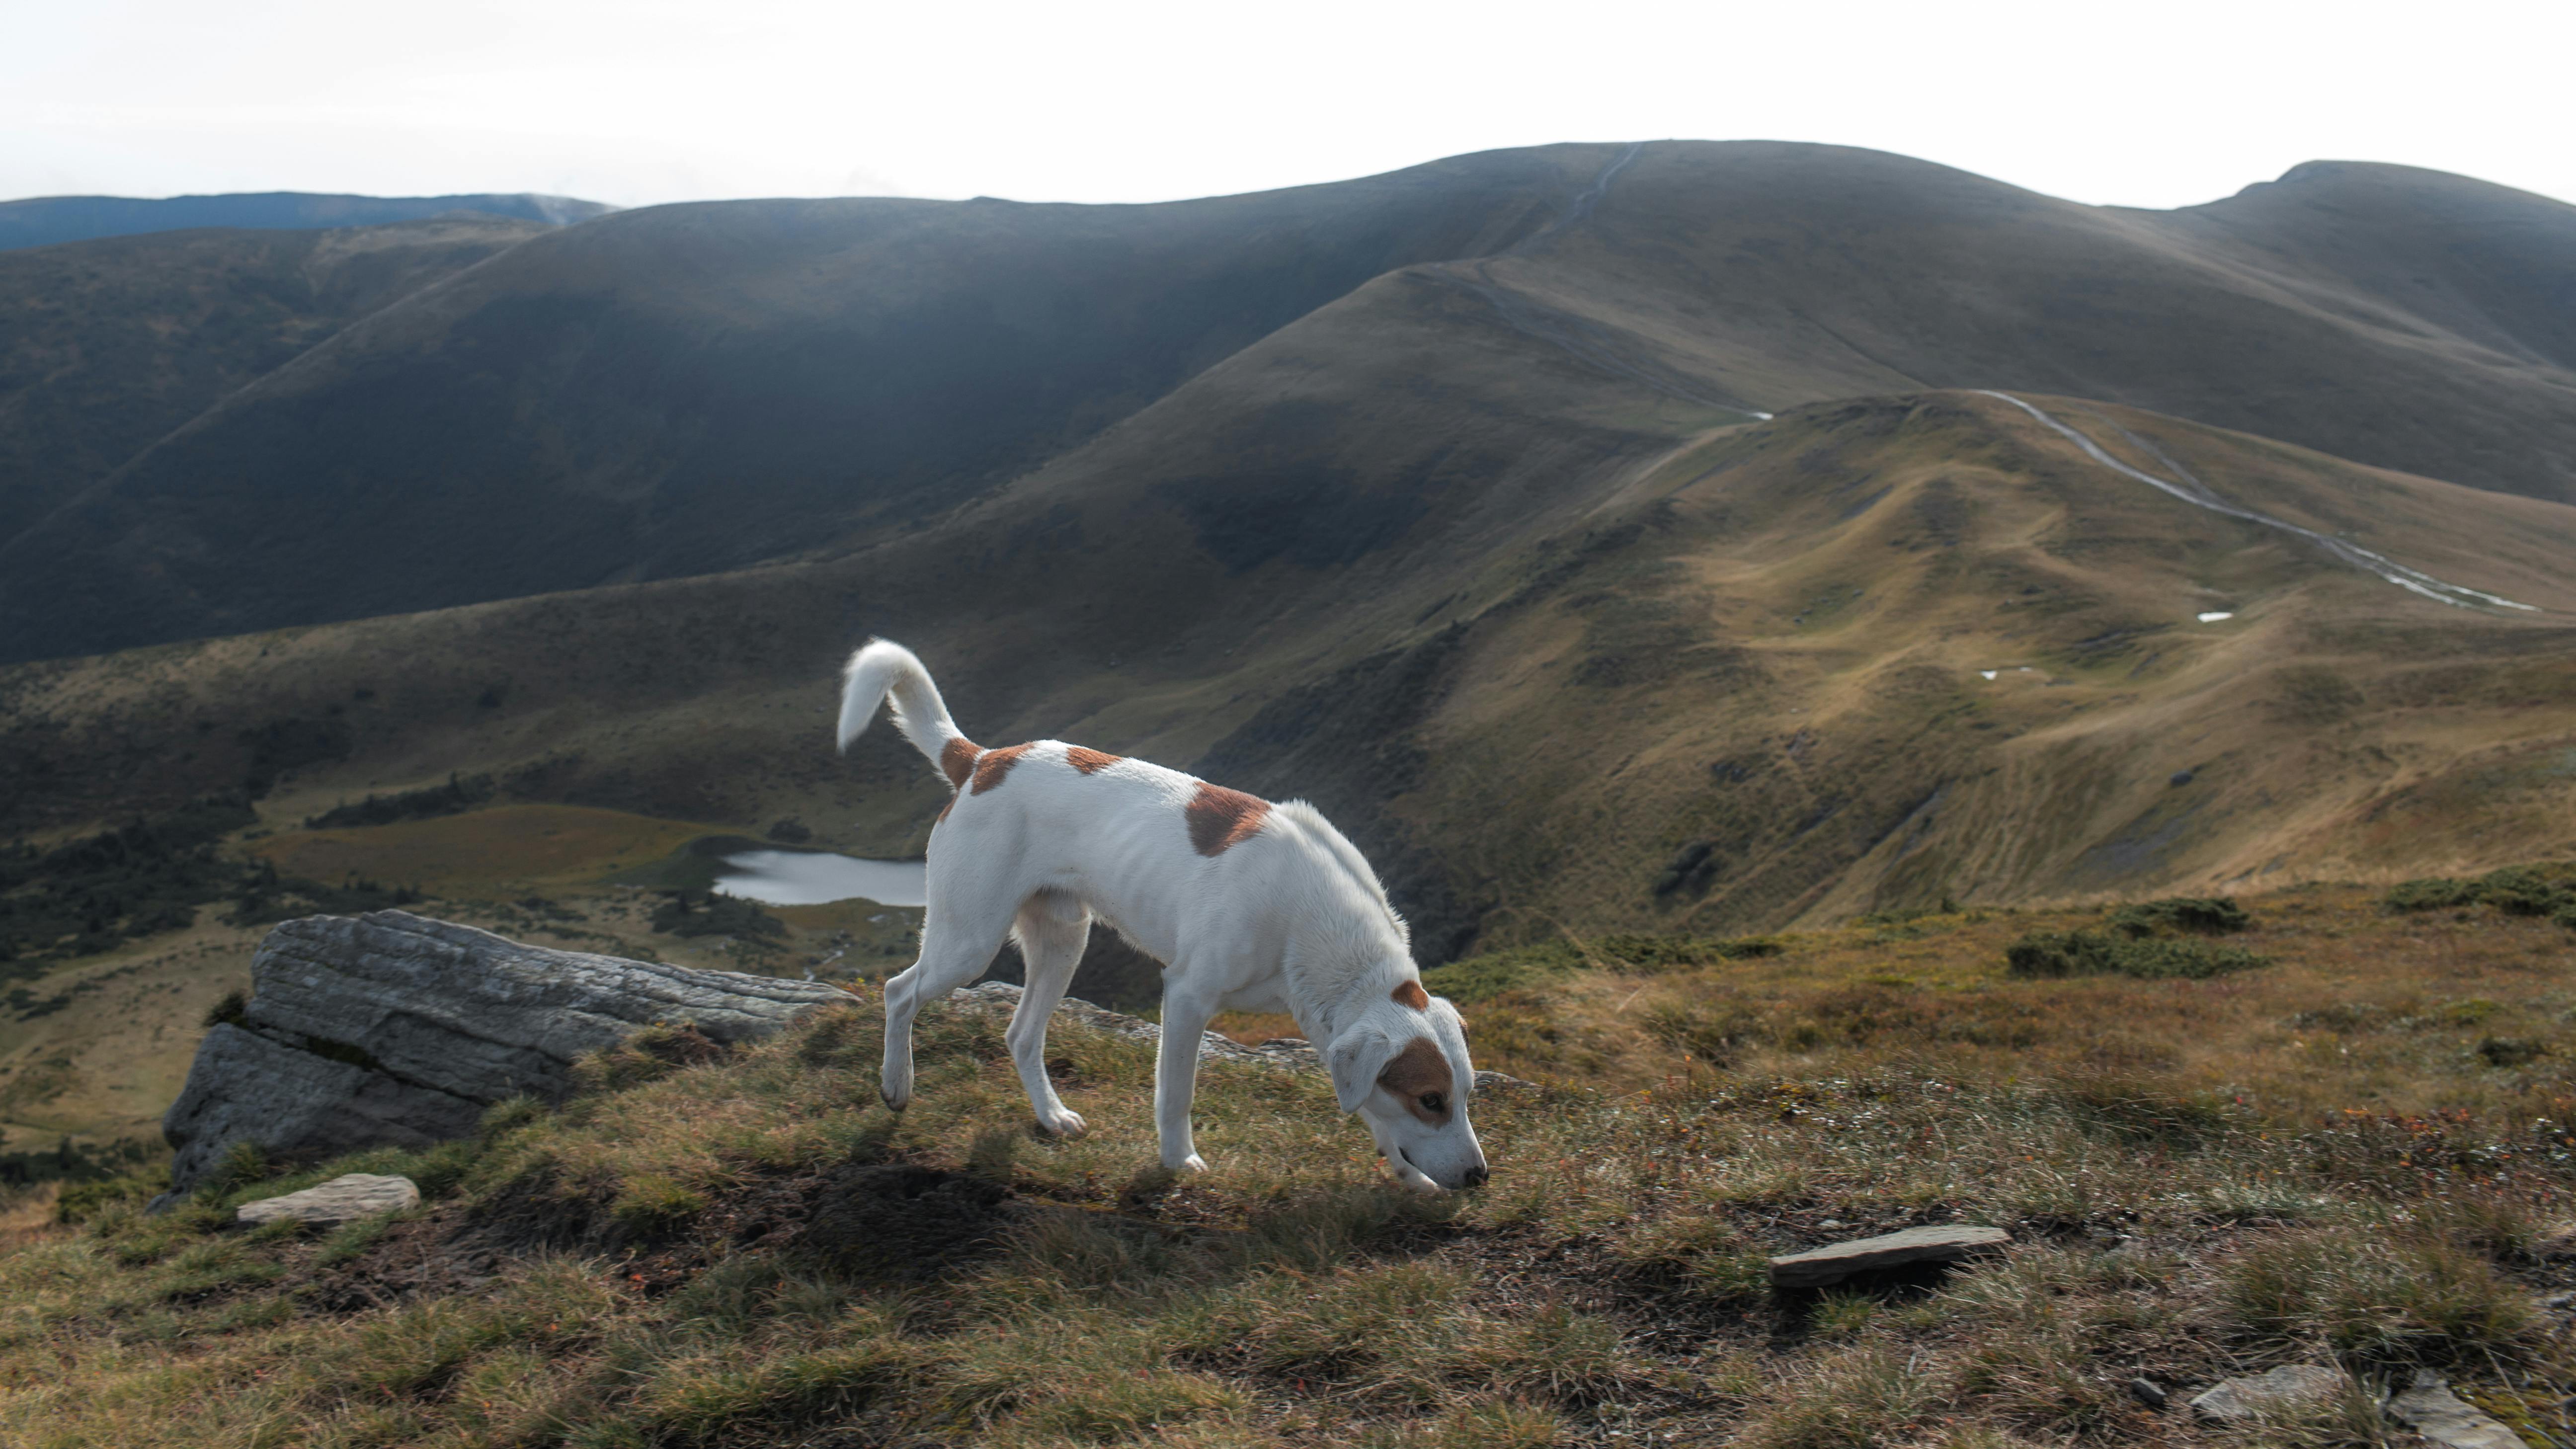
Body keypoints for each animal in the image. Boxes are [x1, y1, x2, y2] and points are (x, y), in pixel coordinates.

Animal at [834, 637, 1494, 1191]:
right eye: (1430, 1100)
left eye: (1464, 1094)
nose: (1480, 1176)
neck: (1310, 920)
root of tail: (982, 761)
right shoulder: (1187, 996)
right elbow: (1177, 1094)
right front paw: (1180, 1162)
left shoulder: (1326, 1024)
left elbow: (1374, 1117)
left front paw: (1411, 1179)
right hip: (969, 941)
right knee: (899, 991)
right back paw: (896, 1085)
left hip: (1063, 942)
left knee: (1021, 1035)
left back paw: (1051, 1116)